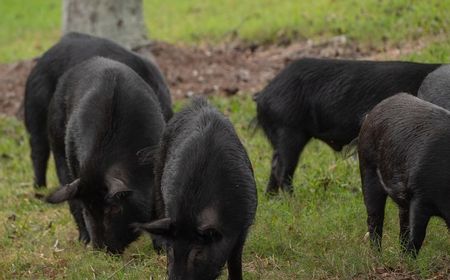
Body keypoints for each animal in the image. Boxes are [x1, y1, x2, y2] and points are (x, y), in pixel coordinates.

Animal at [45, 57, 165, 254]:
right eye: (88, 209)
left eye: (114, 209)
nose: (101, 250)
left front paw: (161, 250)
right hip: (58, 150)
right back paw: (83, 240)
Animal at [135, 97, 258, 278]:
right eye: (171, 250)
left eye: (198, 252)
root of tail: (199, 103)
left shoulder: (243, 225)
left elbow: (235, 261)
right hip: (158, 170)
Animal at [255, 58, 442, 195]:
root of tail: (263, 94)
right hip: (288, 130)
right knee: (283, 168)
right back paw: (292, 201)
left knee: (274, 164)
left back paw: (271, 199)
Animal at [358, 93, 450, 258]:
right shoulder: (420, 196)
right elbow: (418, 236)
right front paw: (410, 260)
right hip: (366, 166)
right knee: (375, 218)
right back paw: (377, 257)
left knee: (402, 224)